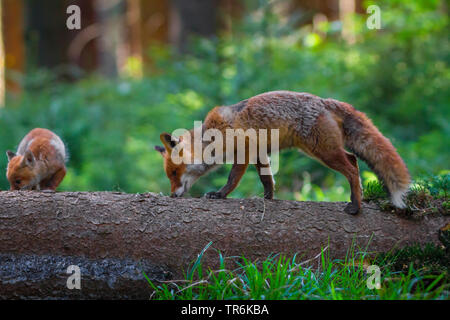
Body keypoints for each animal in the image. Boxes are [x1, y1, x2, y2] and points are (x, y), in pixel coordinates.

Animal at [156, 90, 412, 215]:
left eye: (174, 173)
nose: (172, 195)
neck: (212, 136)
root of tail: (324, 101)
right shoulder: (259, 153)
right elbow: (267, 179)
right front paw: (269, 198)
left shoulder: (244, 152)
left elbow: (232, 179)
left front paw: (219, 195)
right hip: (322, 150)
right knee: (353, 159)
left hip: (322, 151)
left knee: (351, 168)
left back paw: (356, 206)